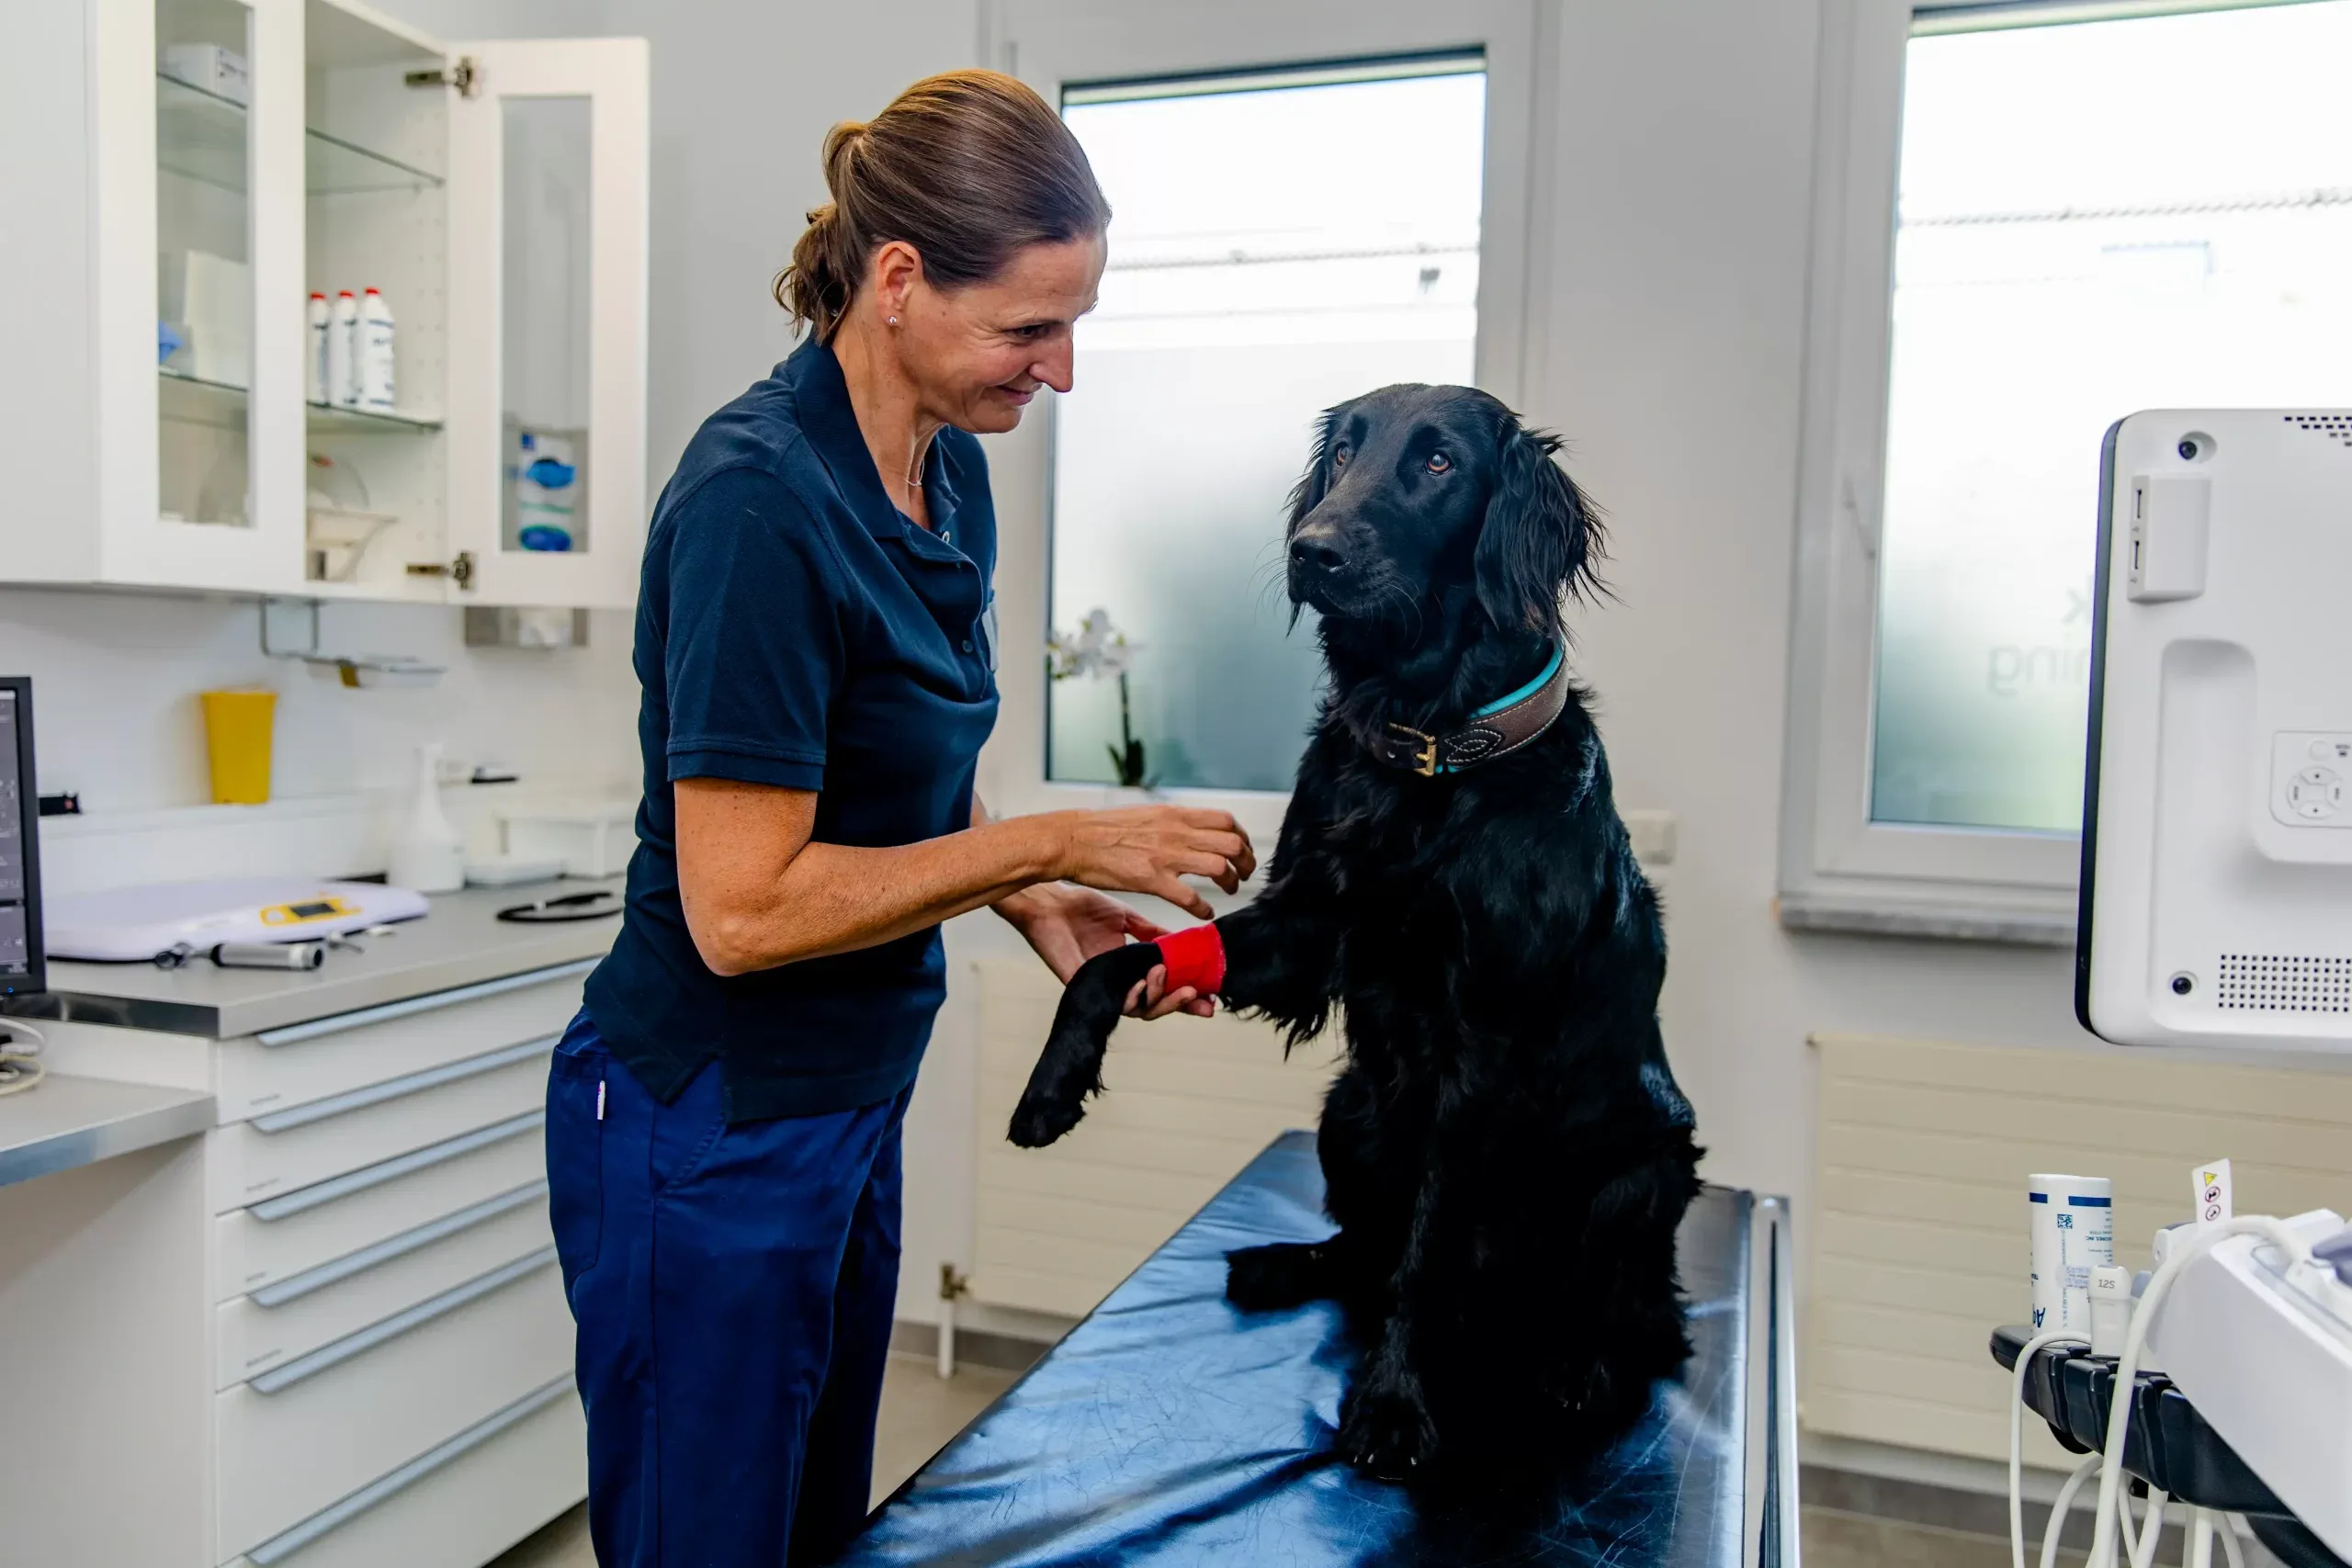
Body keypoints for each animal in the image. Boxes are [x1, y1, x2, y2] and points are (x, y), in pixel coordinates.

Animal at [1001, 385, 1702, 1495]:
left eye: (1439, 463)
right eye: (1341, 455)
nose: (1311, 549)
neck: (1426, 750)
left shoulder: (1482, 1044)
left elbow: (1428, 1246)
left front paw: (1394, 1404)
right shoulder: (1309, 924)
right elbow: (1120, 959)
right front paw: (1052, 1085)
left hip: (1642, 1176)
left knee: (1635, 1314)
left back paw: (1573, 1360)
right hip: (1350, 1112)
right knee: (1361, 1252)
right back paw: (1284, 1263)